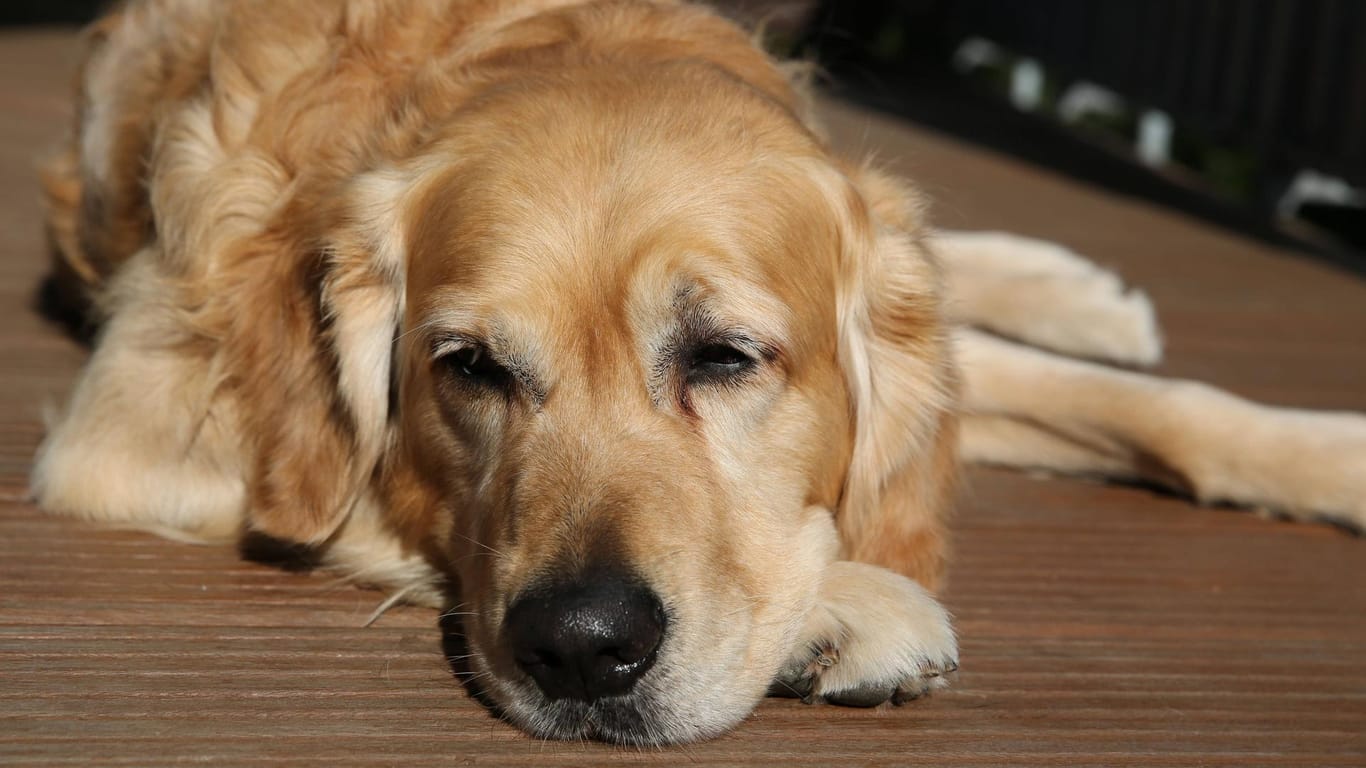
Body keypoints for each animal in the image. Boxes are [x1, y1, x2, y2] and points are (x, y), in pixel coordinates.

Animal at [32, 0, 1366, 743]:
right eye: (468, 368)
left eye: (724, 358)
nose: (580, 649)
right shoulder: (128, 425)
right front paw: (843, 603)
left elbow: (1164, 408)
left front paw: (1331, 454)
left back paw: (1075, 287)